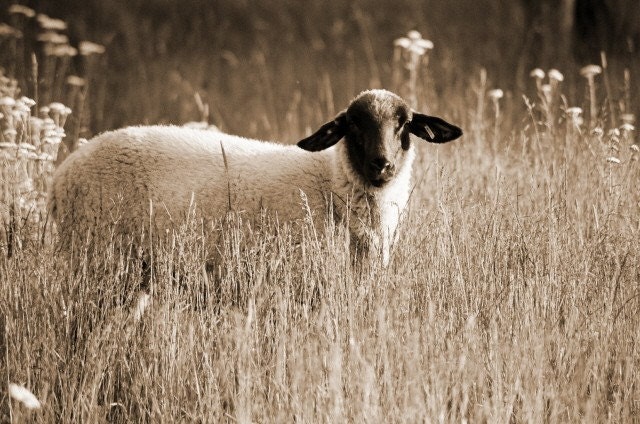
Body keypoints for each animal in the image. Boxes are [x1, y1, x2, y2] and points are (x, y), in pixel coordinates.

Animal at [48, 89, 462, 266]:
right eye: (353, 124)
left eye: (404, 123)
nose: (382, 164)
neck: (332, 182)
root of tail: (62, 173)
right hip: (91, 255)